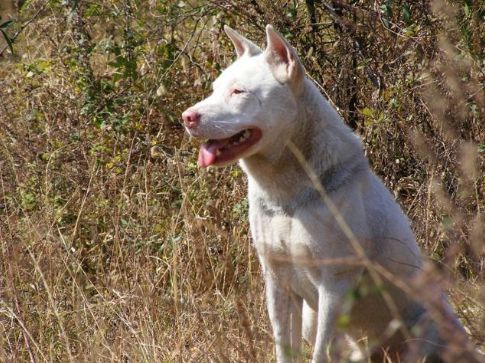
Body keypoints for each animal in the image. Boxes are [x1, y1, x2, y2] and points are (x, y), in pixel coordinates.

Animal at [182, 24, 472, 362]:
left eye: (238, 92)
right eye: (215, 89)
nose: (187, 117)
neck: (287, 196)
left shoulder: (334, 286)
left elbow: (319, 352)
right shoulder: (277, 283)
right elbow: (284, 348)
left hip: (427, 326)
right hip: (314, 320)